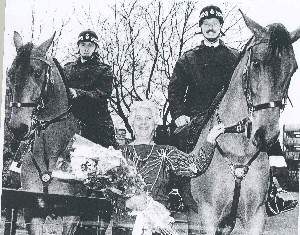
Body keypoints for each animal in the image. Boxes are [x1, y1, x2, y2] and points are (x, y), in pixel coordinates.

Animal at [190, 10, 300, 233]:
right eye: (256, 63)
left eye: (293, 69)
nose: (266, 135)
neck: (238, 152)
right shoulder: (208, 217)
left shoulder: (255, 217)